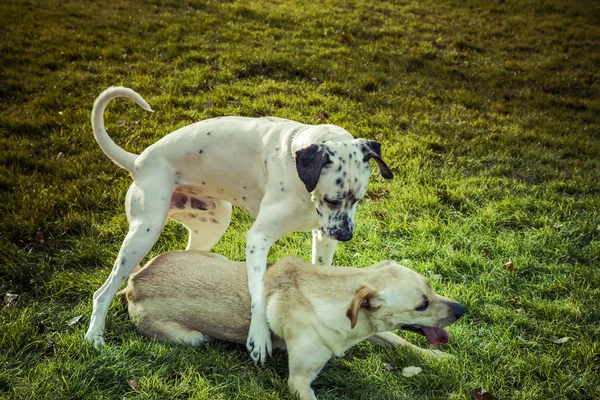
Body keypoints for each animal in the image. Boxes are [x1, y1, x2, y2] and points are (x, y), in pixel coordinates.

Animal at [85, 87, 394, 362]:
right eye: (332, 199)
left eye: (358, 198)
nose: (346, 236)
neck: (296, 163)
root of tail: (139, 161)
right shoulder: (258, 239)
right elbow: (257, 293)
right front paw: (258, 337)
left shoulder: (324, 235)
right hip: (143, 234)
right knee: (103, 292)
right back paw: (95, 336)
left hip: (214, 222)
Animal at [119, 250, 462, 400]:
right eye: (421, 305)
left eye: (431, 287)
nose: (462, 309)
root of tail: (134, 281)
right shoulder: (299, 381)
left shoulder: (369, 330)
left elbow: (401, 341)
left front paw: (438, 357)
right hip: (192, 338)